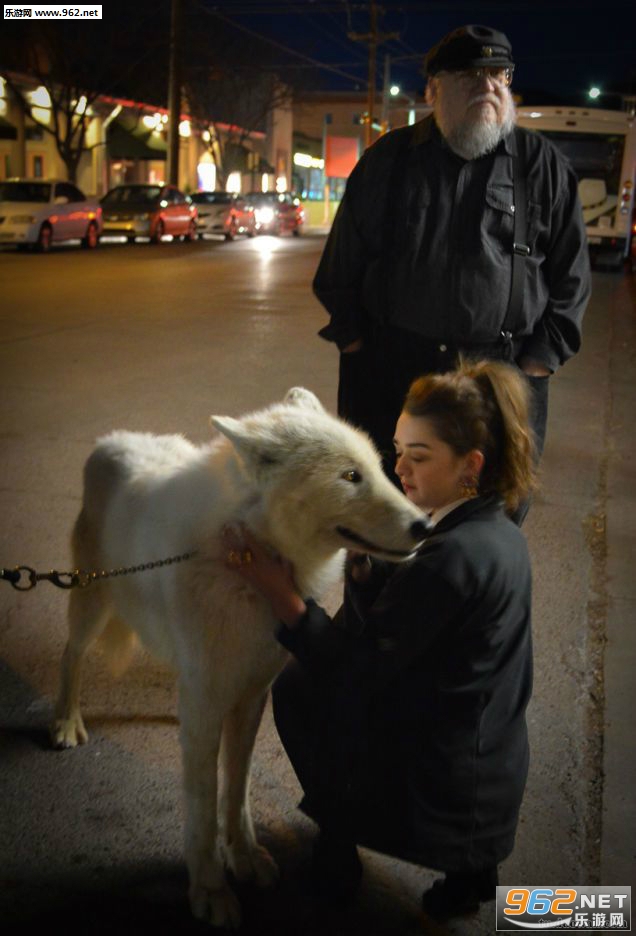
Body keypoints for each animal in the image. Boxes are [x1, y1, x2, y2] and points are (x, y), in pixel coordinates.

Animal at [49, 388, 428, 928]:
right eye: (350, 476)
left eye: (379, 467)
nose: (426, 525)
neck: (241, 563)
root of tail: (111, 440)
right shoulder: (211, 706)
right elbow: (202, 807)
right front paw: (210, 890)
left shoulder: (250, 698)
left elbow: (237, 790)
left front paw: (244, 857)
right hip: (91, 605)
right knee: (71, 656)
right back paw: (65, 722)